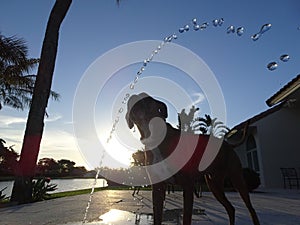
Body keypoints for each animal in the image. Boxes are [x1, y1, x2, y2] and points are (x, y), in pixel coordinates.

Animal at [125, 92, 258, 225]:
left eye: (145, 97)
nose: (133, 96)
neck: (155, 137)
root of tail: (227, 144)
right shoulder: (157, 189)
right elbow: (157, 217)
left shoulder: (188, 185)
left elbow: (186, 218)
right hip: (214, 185)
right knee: (231, 208)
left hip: (238, 181)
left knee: (251, 209)